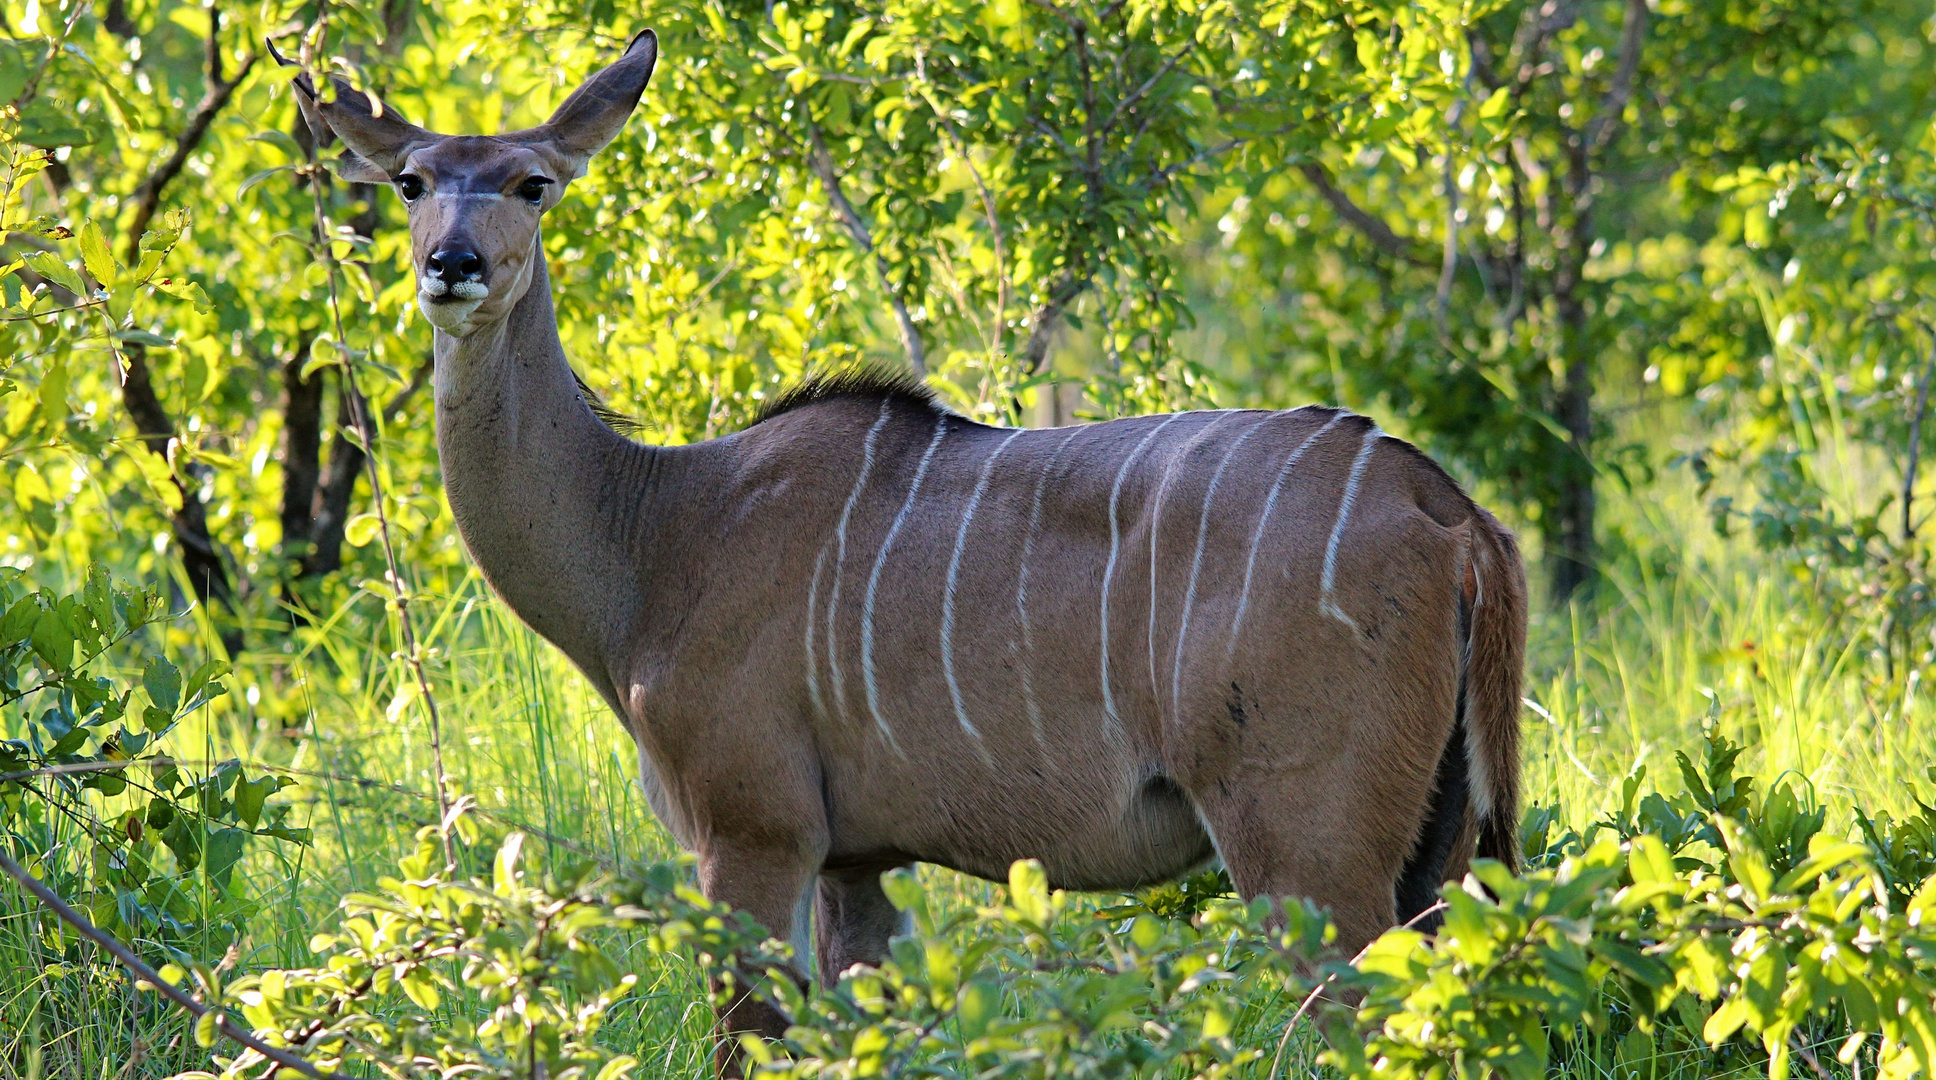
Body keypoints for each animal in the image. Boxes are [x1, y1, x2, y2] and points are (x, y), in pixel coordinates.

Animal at [286, 29, 1525, 1076]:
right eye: (411, 182)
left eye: (532, 183)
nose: (453, 265)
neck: (655, 529)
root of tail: (1448, 509)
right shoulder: (856, 863)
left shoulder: (753, 832)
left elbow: (750, 1036)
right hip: (1444, 847)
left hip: (1307, 853)